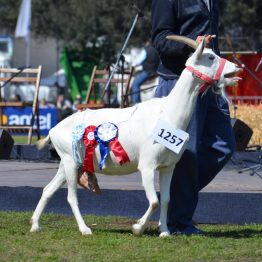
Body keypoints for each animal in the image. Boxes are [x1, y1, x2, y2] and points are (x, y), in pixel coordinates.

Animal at [30, 36, 242, 237]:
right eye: (210, 57)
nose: (237, 67)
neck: (166, 113)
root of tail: (53, 130)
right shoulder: (147, 166)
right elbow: (154, 201)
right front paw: (137, 227)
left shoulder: (168, 167)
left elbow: (166, 199)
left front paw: (164, 231)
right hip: (70, 162)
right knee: (71, 197)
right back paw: (84, 229)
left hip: (68, 163)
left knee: (48, 189)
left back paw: (35, 225)